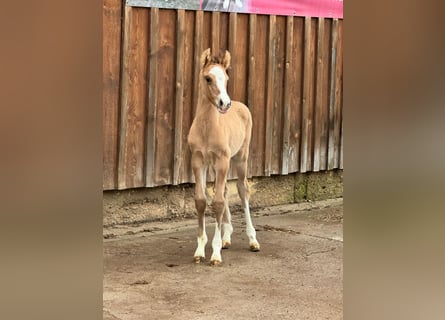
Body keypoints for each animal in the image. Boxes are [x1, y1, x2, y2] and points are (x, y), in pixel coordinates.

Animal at [186, 49, 258, 264]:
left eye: (226, 78)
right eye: (207, 78)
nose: (224, 103)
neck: (207, 128)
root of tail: (241, 106)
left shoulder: (223, 161)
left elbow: (217, 202)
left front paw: (215, 253)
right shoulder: (198, 161)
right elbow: (201, 200)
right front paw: (200, 250)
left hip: (240, 159)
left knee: (242, 190)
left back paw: (253, 240)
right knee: (225, 190)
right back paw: (227, 237)